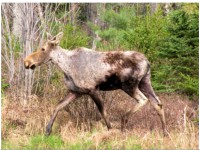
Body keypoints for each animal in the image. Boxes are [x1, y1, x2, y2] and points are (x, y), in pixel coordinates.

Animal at [24, 32, 168, 137]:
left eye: (43, 48)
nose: (27, 62)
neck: (66, 66)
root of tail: (148, 62)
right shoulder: (76, 91)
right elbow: (58, 106)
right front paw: (48, 130)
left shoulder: (92, 89)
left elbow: (102, 111)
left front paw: (110, 130)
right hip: (145, 82)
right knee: (158, 103)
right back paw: (165, 133)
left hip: (129, 85)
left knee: (143, 99)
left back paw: (123, 121)